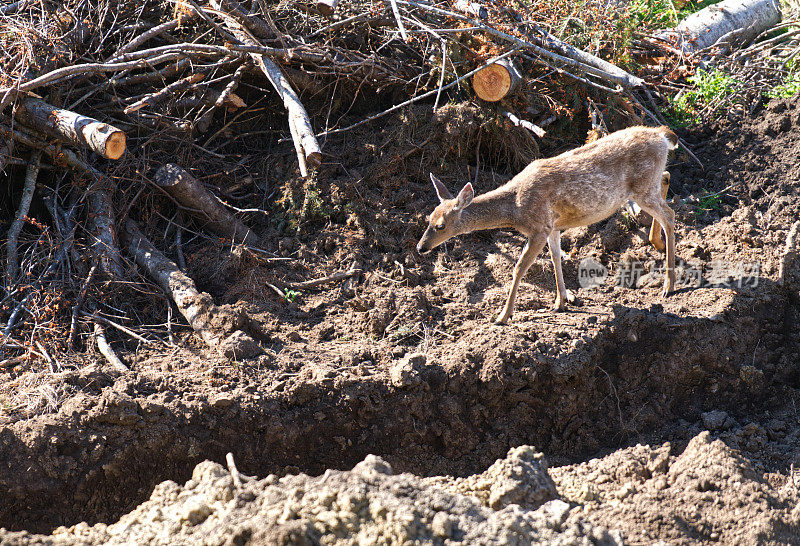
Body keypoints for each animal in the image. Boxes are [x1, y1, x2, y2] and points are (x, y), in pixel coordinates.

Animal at [416, 126, 680, 324]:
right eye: (428, 218)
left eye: (440, 225)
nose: (420, 247)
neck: (514, 208)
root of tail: (661, 135)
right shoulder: (552, 227)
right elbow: (555, 258)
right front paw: (560, 302)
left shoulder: (538, 227)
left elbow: (519, 268)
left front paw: (502, 316)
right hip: (648, 184)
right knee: (667, 179)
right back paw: (656, 243)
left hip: (642, 186)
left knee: (670, 214)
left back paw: (668, 284)